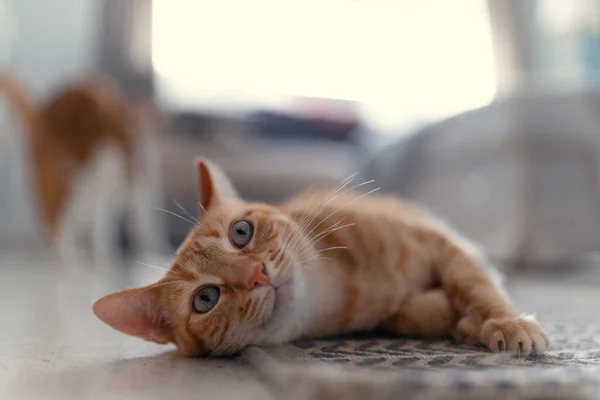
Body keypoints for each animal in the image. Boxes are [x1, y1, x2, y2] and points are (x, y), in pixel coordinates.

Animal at [0, 73, 168, 264]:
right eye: (124, 134)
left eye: (144, 135)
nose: (135, 163)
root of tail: (40, 113)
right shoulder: (108, 183)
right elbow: (108, 226)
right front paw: (105, 256)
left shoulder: (140, 188)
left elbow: (142, 224)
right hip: (67, 182)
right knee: (55, 220)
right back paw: (68, 255)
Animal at [92, 159, 548, 356]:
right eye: (205, 299)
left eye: (241, 232)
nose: (256, 273)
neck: (342, 292)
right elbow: (416, 313)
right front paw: (460, 321)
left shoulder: (442, 243)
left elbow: (476, 283)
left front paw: (504, 322)